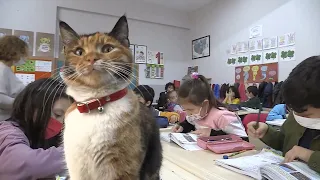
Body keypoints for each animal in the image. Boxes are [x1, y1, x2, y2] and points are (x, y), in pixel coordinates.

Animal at [59, 15, 162, 180]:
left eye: (107, 49)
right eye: (79, 52)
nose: (91, 59)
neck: (95, 103)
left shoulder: (123, 170)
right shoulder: (77, 169)